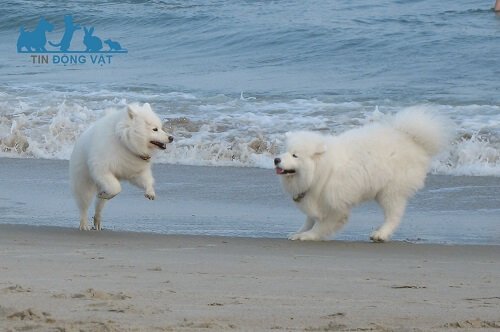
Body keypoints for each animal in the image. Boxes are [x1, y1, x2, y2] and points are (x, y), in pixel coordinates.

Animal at [276, 110, 452, 243]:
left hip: (389, 192)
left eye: (295, 155)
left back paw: (381, 234)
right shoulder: (316, 198)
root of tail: (410, 138)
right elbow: (310, 219)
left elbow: (321, 225)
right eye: (285, 151)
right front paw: (299, 232)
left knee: (394, 215)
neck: (321, 171)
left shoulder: (335, 205)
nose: (276, 159)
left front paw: (308, 235)